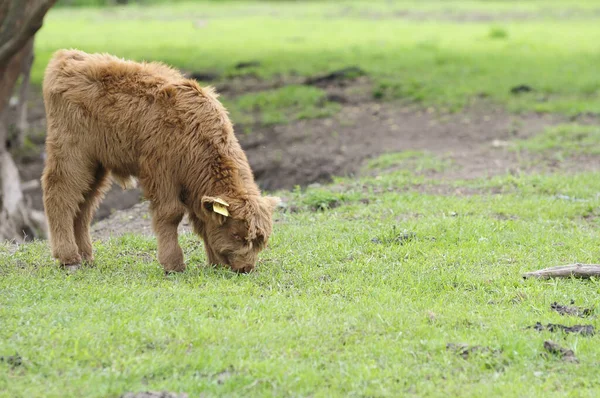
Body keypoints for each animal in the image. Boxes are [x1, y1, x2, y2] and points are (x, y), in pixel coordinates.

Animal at [41, 49, 280, 272]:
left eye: (261, 240)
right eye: (237, 235)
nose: (246, 268)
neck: (196, 133)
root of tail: (67, 56)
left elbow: (201, 221)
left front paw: (213, 263)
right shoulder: (161, 174)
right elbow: (171, 214)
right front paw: (173, 264)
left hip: (96, 165)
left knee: (84, 205)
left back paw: (86, 257)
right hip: (71, 155)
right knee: (60, 195)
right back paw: (69, 258)